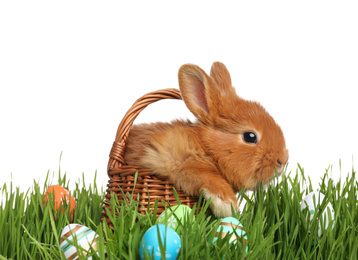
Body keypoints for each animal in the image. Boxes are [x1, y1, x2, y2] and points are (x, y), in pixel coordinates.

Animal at [123, 61, 288, 217]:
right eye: (250, 136)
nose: (282, 161)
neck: (206, 146)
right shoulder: (178, 159)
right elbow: (208, 176)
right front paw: (227, 205)